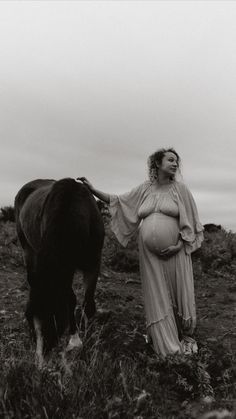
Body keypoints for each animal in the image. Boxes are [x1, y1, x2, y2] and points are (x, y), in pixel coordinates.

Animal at [14, 178, 103, 368]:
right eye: (28, 318)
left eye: (52, 318)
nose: (39, 363)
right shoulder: (64, 270)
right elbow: (70, 299)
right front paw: (75, 340)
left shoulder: (93, 264)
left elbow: (88, 302)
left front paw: (88, 334)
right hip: (27, 247)